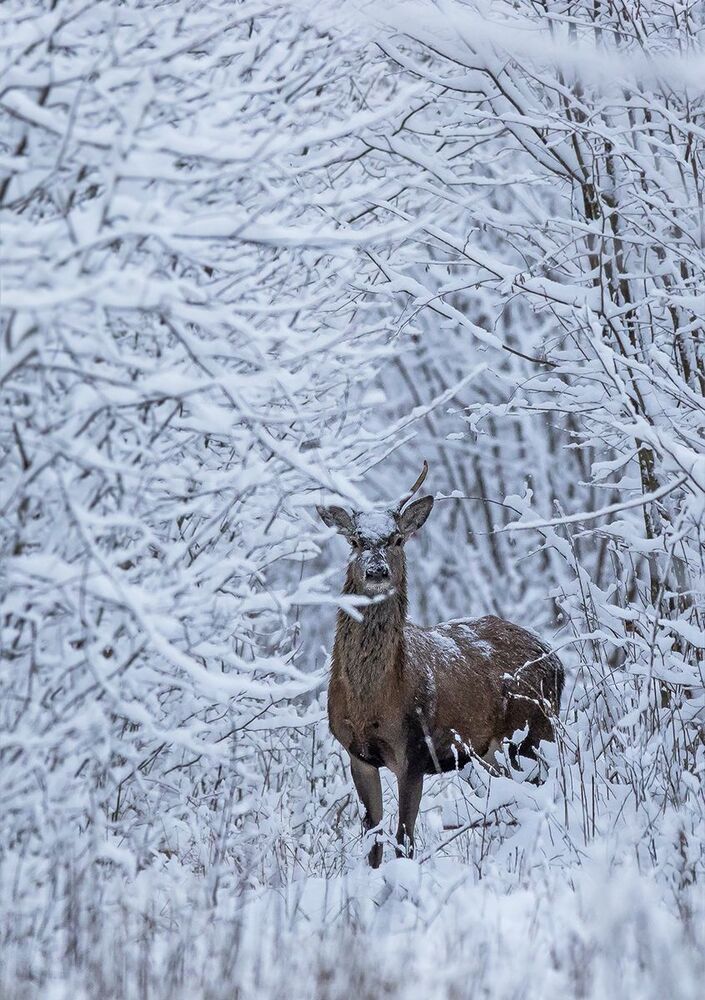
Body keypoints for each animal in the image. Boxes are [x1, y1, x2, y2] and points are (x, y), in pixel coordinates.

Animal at [316, 462, 564, 868]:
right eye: (355, 540)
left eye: (396, 539)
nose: (377, 571)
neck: (375, 702)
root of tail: (557, 661)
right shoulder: (358, 755)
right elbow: (373, 841)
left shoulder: (415, 750)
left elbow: (404, 840)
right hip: (493, 750)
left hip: (535, 732)